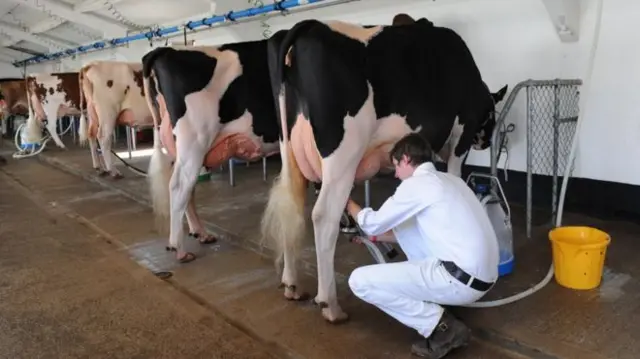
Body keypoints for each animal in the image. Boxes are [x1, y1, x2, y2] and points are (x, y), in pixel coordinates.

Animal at [142, 40, 282, 262]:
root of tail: (166, 50)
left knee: (187, 188)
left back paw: (201, 233)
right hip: (194, 139)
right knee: (179, 185)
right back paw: (179, 248)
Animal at [258, 15, 504, 324]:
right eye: (491, 116)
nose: (486, 141)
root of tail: (308, 26)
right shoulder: (462, 133)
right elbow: (454, 175)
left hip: (288, 150)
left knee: (292, 206)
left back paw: (291, 284)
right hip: (343, 152)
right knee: (323, 216)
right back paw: (330, 305)